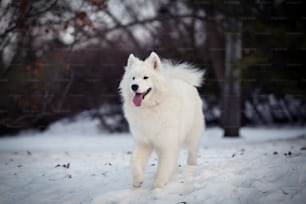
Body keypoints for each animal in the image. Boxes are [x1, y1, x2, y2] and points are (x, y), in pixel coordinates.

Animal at [119, 52, 206, 188]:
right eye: (133, 78)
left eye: (145, 77)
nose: (134, 86)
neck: (151, 108)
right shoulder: (144, 142)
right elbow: (134, 160)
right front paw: (138, 179)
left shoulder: (168, 142)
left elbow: (164, 165)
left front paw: (158, 184)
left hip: (192, 133)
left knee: (193, 149)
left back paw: (192, 164)